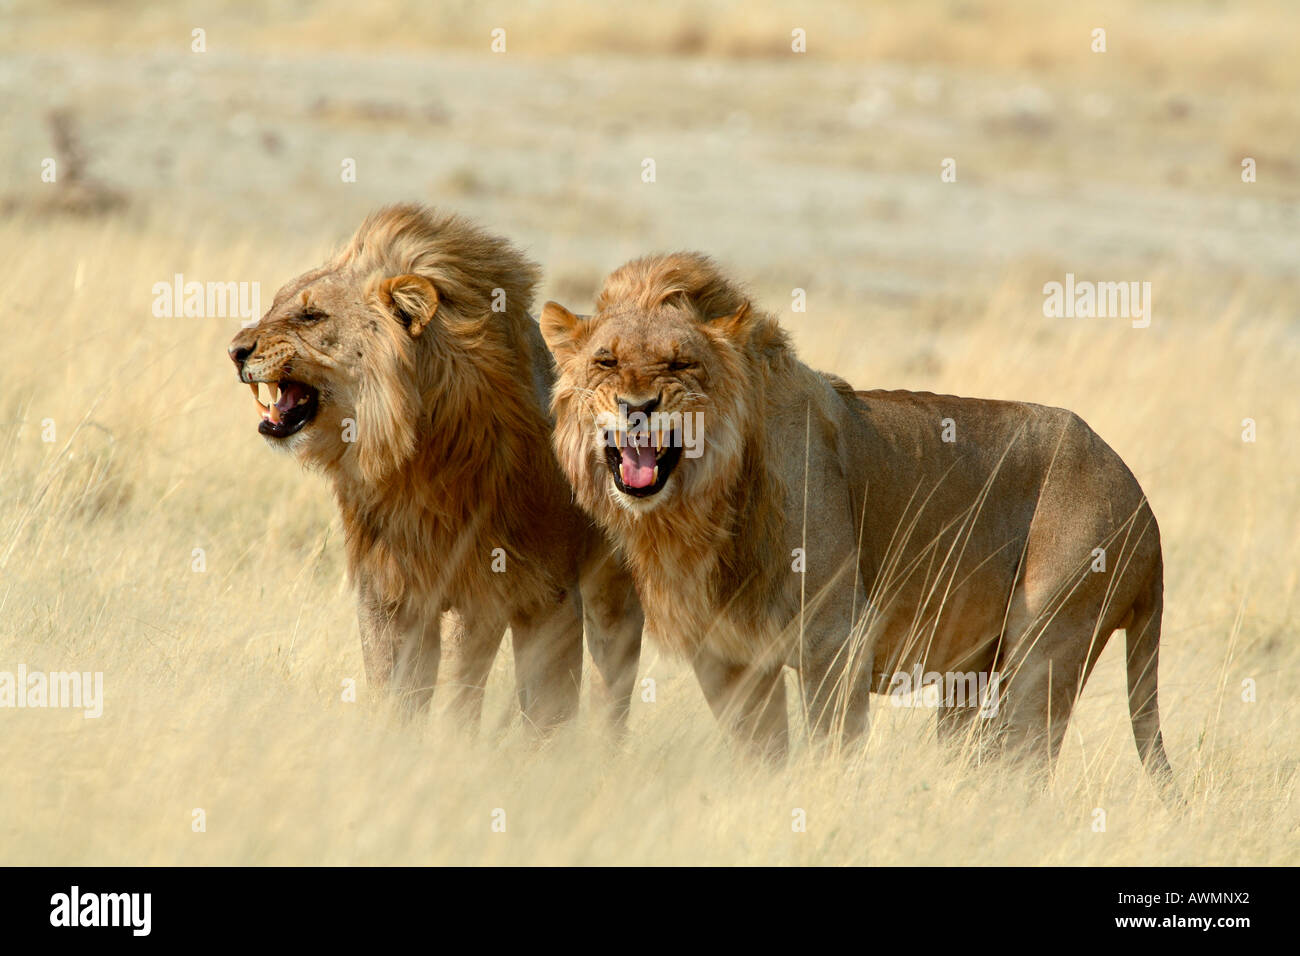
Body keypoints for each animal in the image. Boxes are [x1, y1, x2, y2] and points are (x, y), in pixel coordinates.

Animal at [232, 205, 644, 728]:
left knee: (611, 688)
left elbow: (482, 703)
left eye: (311, 315)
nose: (235, 350)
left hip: (610, 590)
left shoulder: (507, 591)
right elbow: (394, 693)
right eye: (275, 304)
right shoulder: (389, 590)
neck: (414, 460)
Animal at [538, 251, 1180, 796]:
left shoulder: (837, 639)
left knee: (1023, 765)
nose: (637, 408)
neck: (698, 511)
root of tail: (1144, 505)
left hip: (1049, 643)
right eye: (606, 362)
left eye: (680, 363)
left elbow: (832, 749)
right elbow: (760, 755)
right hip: (972, 673)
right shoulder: (727, 655)